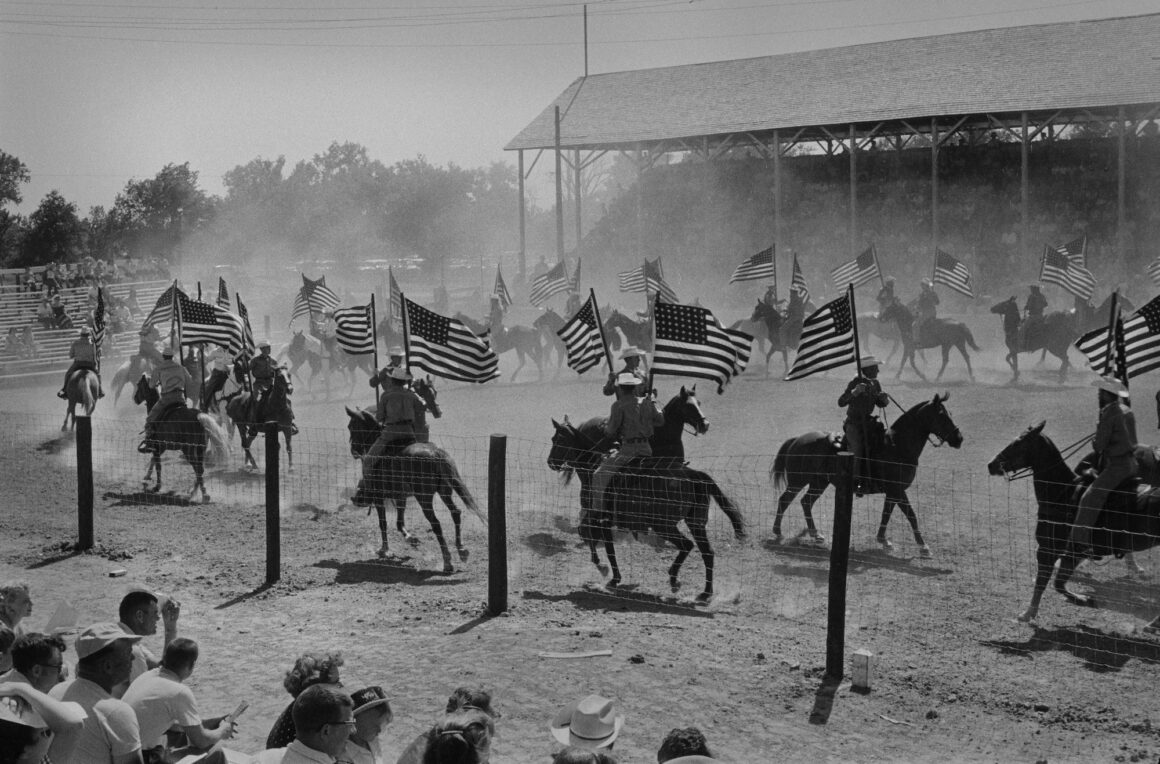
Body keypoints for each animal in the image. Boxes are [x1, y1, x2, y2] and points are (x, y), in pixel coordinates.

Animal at [132, 375, 230, 503]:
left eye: (139, 385)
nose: (135, 398)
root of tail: (199, 416)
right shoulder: (161, 447)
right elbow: (154, 460)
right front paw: (147, 477)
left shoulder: (157, 446)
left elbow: (158, 466)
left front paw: (157, 486)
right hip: (201, 449)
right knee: (200, 470)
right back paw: (195, 492)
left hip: (188, 450)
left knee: (198, 468)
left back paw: (203, 494)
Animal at [343, 401, 475, 575]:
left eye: (351, 426)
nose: (354, 451)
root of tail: (435, 454)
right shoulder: (401, 496)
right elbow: (399, 522)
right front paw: (411, 539)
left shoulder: (379, 497)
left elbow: (383, 523)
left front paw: (384, 550)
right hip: (444, 492)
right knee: (456, 512)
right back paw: (461, 550)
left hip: (424, 498)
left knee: (436, 523)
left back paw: (447, 562)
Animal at [545, 389, 742, 602]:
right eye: (689, 405)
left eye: (557, 440)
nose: (550, 462)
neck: (594, 464)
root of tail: (694, 475)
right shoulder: (602, 518)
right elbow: (595, 539)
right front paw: (610, 575)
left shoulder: (601, 518)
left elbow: (598, 541)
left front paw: (607, 572)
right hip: (696, 522)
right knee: (708, 552)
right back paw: (705, 593)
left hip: (664, 524)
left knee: (687, 545)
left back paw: (674, 581)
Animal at [774, 394, 965, 556]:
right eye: (941, 415)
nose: (959, 438)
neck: (897, 447)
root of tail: (797, 439)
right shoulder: (898, 490)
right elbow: (911, 515)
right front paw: (924, 547)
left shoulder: (893, 492)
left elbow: (886, 514)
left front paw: (884, 541)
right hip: (798, 481)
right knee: (785, 500)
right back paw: (778, 532)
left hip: (819, 482)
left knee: (806, 502)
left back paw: (816, 534)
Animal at [988, 421, 1160, 630]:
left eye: (1018, 443)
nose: (991, 464)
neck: (1062, 493)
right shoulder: (1072, 554)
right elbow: (1058, 583)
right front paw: (1084, 599)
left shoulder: (1048, 549)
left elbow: (1043, 582)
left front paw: (1028, 614)